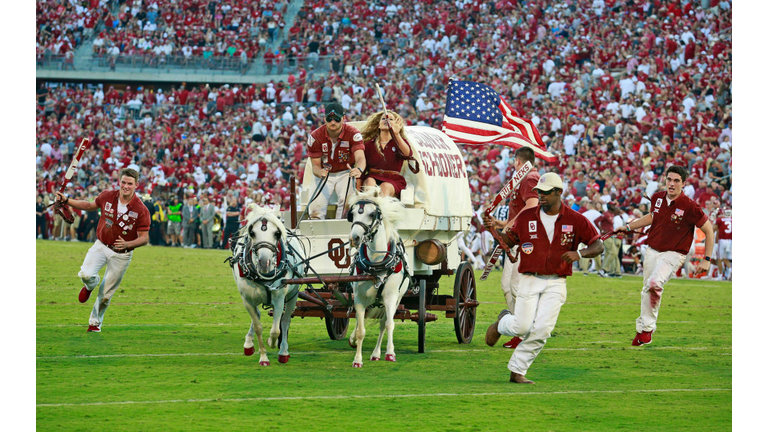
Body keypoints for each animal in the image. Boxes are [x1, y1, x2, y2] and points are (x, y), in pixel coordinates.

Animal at [226, 204, 304, 366]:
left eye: (276, 233)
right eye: (252, 232)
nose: (264, 262)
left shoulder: (280, 298)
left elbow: (276, 330)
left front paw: (274, 344)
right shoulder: (247, 300)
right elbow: (258, 327)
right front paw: (263, 357)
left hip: (293, 295)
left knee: (285, 321)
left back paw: (283, 351)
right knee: (258, 315)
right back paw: (248, 343)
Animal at [346, 186, 412, 368]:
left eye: (371, 214)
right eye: (352, 214)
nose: (354, 238)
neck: (376, 263)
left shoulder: (390, 297)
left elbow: (389, 324)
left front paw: (390, 353)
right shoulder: (359, 299)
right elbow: (361, 330)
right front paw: (357, 359)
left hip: (396, 299)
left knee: (384, 323)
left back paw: (376, 353)